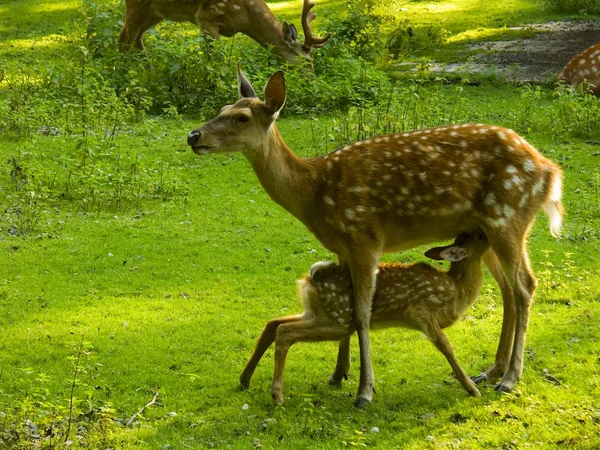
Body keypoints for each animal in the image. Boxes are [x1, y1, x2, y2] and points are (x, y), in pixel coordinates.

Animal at [119, 0, 330, 65]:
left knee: (135, 39)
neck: (245, 17)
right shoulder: (206, 16)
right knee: (124, 39)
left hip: (154, 13)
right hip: (137, 6)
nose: (312, 80)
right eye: (307, 61)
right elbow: (214, 59)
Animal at [240, 230, 492, 402]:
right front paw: (472, 389)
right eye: (480, 235)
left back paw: (244, 380)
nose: (491, 231)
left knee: (273, 323)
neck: (456, 290)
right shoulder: (421, 312)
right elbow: (447, 348)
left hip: (318, 313)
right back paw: (276, 395)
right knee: (284, 332)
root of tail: (312, 276)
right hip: (339, 320)